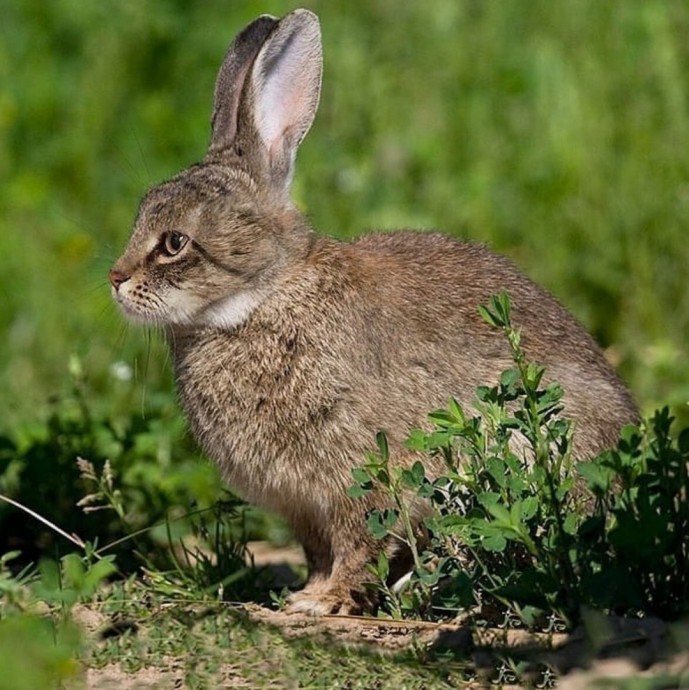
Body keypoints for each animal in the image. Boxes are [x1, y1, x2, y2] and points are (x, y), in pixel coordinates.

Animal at [109, 9, 640, 612]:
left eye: (175, 243)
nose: (117, 280)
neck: (264, 297)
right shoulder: (304, 507)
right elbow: (319, 550)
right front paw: (307, 592)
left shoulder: (360, 476)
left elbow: (361, 541)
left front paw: (321, 602)